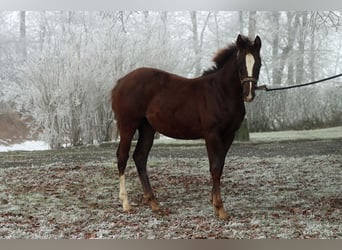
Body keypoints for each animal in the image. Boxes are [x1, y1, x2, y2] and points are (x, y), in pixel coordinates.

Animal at [112, 34, 262, 219]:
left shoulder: (228, 135)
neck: (220, 92)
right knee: (122, 157)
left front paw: (214, 203)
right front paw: (220, 209)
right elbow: (215, 168)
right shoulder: (212, 134)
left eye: (258, 63)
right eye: (241, 64)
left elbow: (220, 165)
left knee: (140, 157)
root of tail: (120, 82)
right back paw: (126, 203)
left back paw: (153, 203)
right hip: (127, 125)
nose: (249, 94)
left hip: (147, 128)